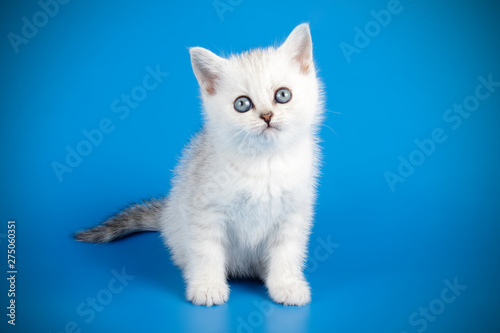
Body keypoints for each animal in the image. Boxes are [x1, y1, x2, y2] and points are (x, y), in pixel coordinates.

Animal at [74, 23, 324, 306]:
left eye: (283, 95)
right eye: (242, 104)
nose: (267, 116)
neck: (263, 162)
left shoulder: (293, 213)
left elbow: (287, 251)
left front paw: (286, 284)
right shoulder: (205, 210)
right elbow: (207, 250)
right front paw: (207, 286)